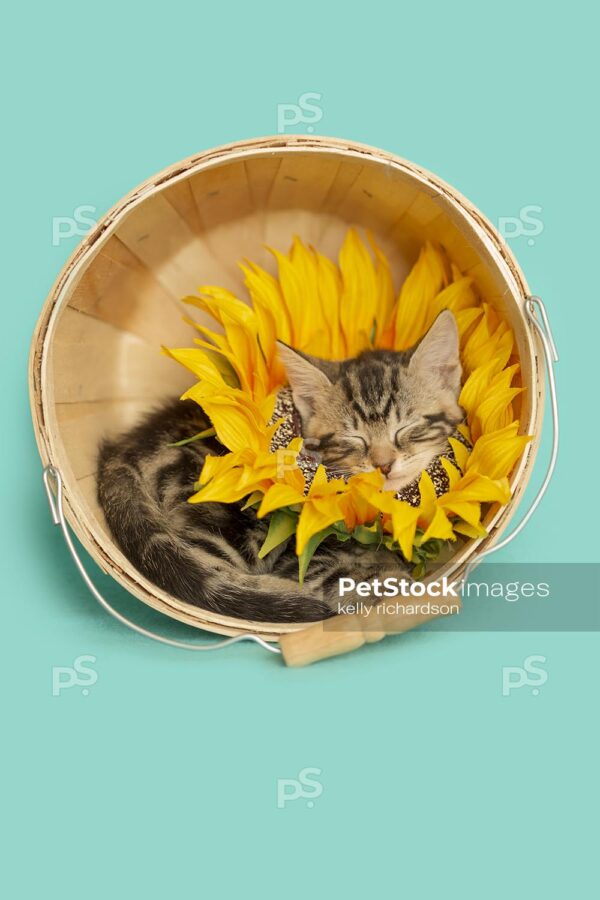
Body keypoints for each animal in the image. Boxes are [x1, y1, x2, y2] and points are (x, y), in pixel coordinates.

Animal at [96, 308, 462, 620]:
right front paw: (391, 582)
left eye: (406, 427)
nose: (383, 465)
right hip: (227, 518)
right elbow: (347, 580)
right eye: (353, 438)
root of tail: (126, 449)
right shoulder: (305, 557)